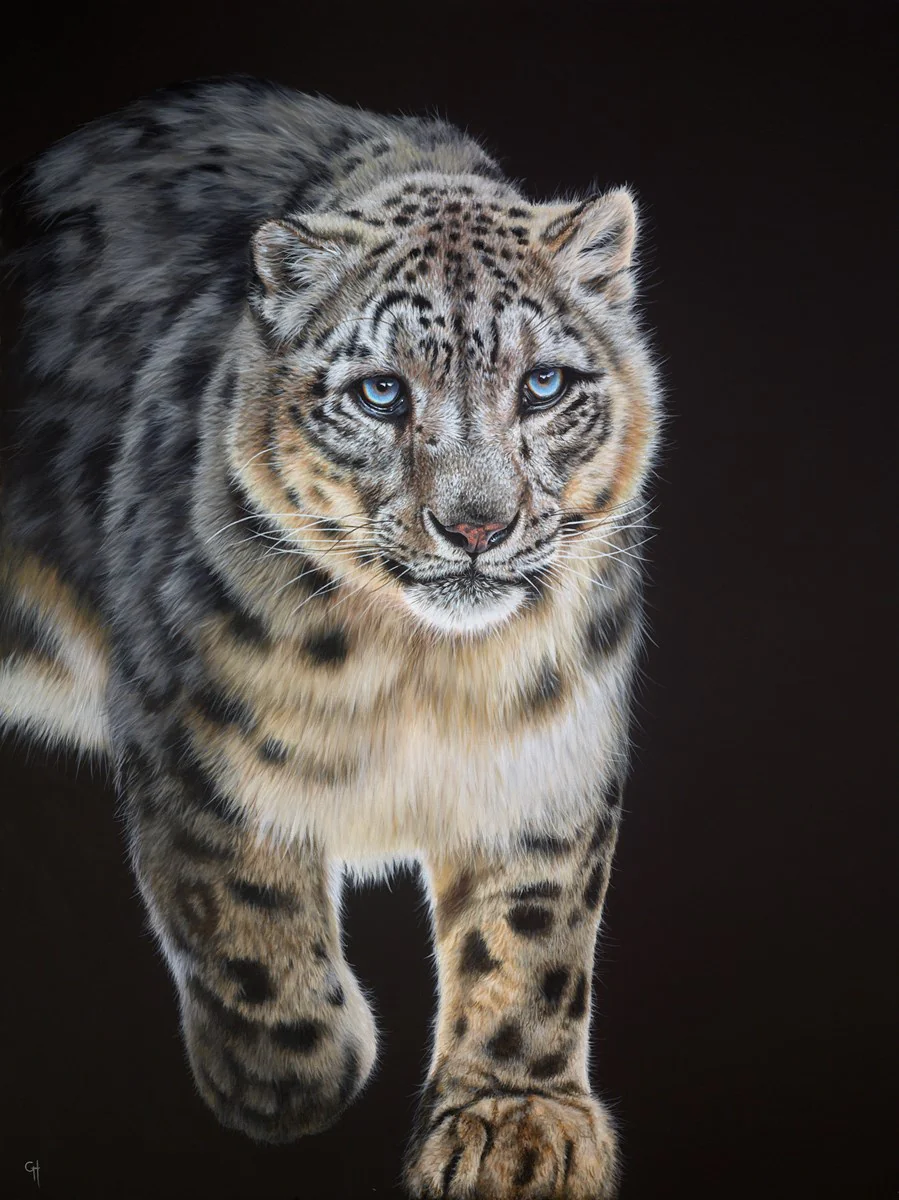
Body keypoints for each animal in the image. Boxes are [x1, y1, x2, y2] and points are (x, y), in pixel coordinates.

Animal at [0, 75, 660, 1198]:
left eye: (542, 386)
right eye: (381, 392)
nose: (475, 525)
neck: (427, 674)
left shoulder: (548, 755)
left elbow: (533, 932)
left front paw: (512, 1122)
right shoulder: (192, 734)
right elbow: (239, 903)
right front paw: (296, 1078)